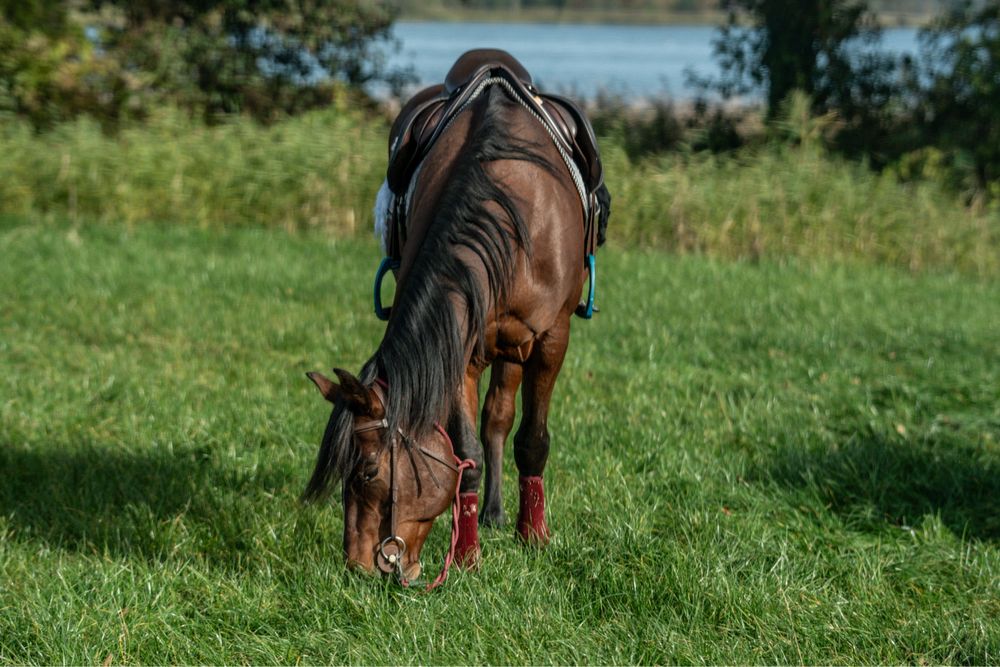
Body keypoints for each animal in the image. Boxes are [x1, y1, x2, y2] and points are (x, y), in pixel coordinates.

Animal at [302, 50, 608, 587]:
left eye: (366, 473)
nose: (357, 567)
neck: (510, 209)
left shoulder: (552, 339)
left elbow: (533, 439)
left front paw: (534, 537)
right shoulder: (461, 348)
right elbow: (467, 451)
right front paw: (467, 557)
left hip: (520, 344)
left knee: (504, 418)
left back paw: (506, 516)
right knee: (494, 420)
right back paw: (490, 514)